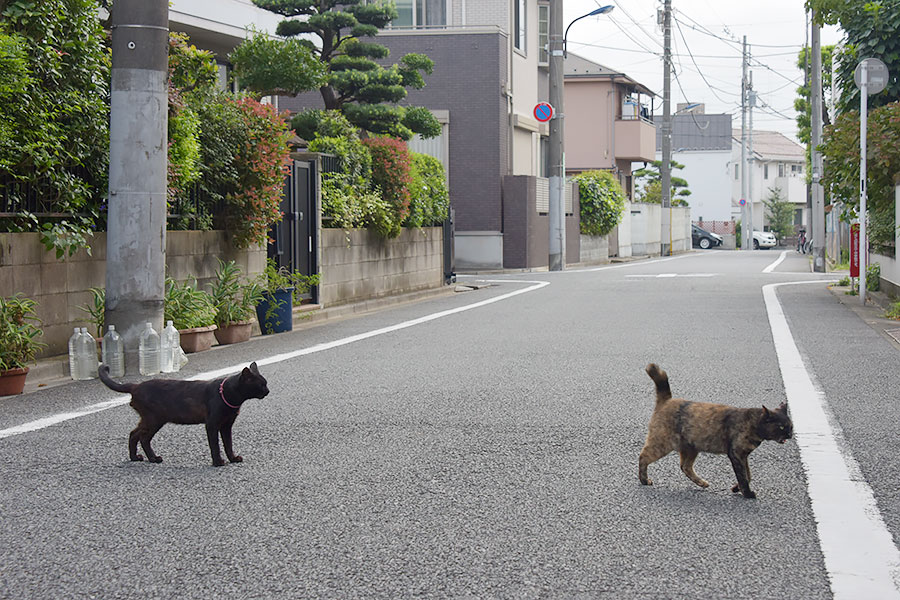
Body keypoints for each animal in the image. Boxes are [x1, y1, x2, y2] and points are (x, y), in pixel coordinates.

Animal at [99, 360, 268, 464]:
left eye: (266, 383)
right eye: (261, 385)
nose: (268, 391)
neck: (228, 395)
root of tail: (136, 386)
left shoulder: (227, 425)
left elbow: (228, 444)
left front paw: (233, 458)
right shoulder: (212, 424)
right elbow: (215, 445)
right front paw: (218, 462)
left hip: (151, 420)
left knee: (134, 434)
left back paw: (137, 457)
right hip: (154, 419)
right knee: (142, 437)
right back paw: (153, 458)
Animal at [636, 364, 792, 500]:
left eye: (790, 426)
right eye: (781, 427)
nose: (790, 435)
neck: (752, 423)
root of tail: (667, 400)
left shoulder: (743, 456)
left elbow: (748, 475)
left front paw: (736, 488)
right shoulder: (736, 454)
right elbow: (743, 476)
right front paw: (747, 493)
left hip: (691, 447)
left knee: (685, 466)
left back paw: (701, 483)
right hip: (662, 444)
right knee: (643, 456)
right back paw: (644, 480)